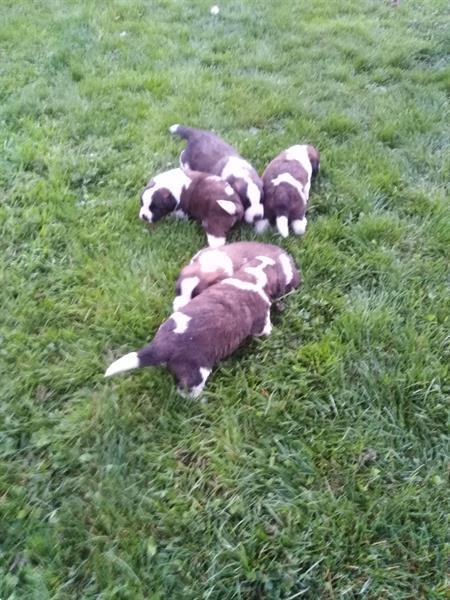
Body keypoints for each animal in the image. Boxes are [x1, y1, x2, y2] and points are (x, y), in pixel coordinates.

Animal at [105, 253, 300, 398]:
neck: (252, 276)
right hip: (197, 373)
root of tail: (161, 346)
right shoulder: (261, 321)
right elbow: (266, 329)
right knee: (187, 391)